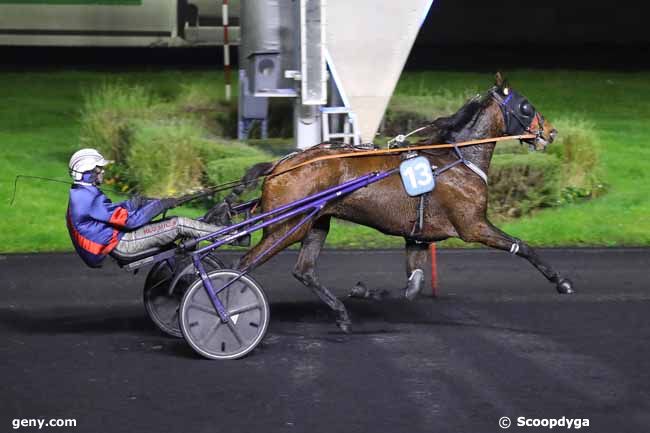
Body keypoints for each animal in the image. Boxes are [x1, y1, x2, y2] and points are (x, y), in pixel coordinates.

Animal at [229, 73, 572, 330]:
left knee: (305, 271)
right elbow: (521, 246)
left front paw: (363, 291)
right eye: (526, 106)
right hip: (285, 228)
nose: (551, 132)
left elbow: (413, 287)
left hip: (315, 224)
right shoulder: (473, 226)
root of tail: (279, 165)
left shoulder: (418, 237)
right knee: (242, 265)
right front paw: (561, 282)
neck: (458, 159)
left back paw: (341, 314)